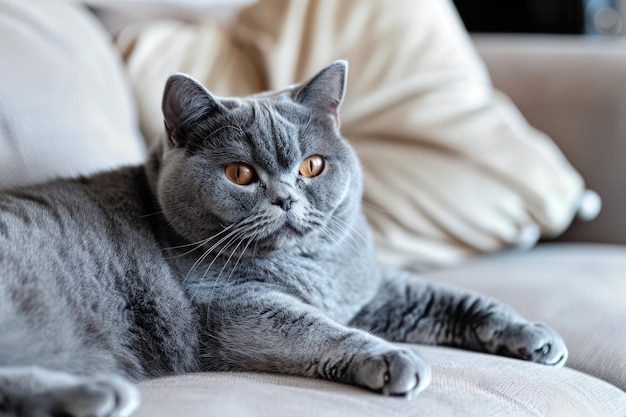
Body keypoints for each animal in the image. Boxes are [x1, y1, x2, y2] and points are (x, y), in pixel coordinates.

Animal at [0, 61, 564, 416]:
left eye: (312, 165)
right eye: (240, 174)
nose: (287, 198)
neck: (309, 267)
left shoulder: (372, 290)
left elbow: (453, 298)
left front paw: (535, 336)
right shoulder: (235, 309)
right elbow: (316, 329)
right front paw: (392, 358)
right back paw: (96, 394)